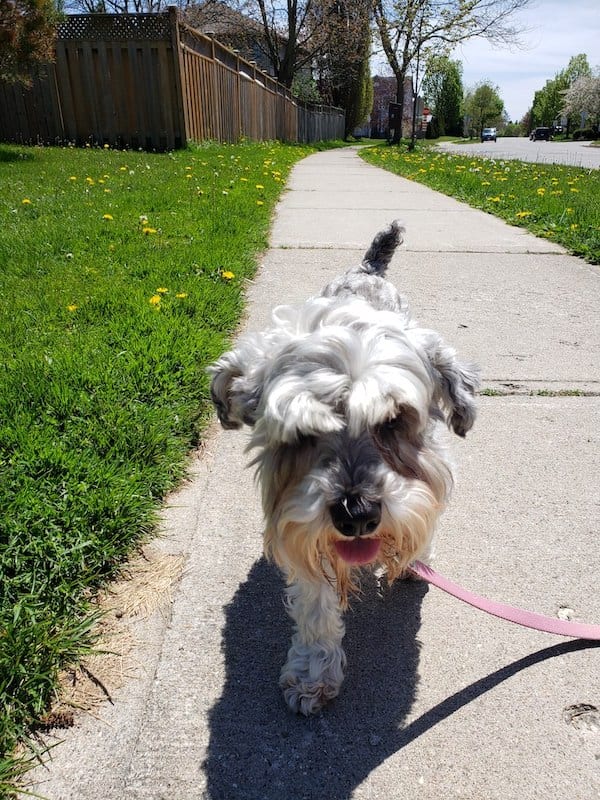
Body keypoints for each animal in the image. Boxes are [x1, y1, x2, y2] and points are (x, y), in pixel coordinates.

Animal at [209, 222, 480, 716]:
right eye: (301, 433)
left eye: (393, 420)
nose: (357, 516)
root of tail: (366, 270)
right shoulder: (302, 534)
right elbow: (315, 608)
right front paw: (313, 673)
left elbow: (423, 519)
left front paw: (414, 559)